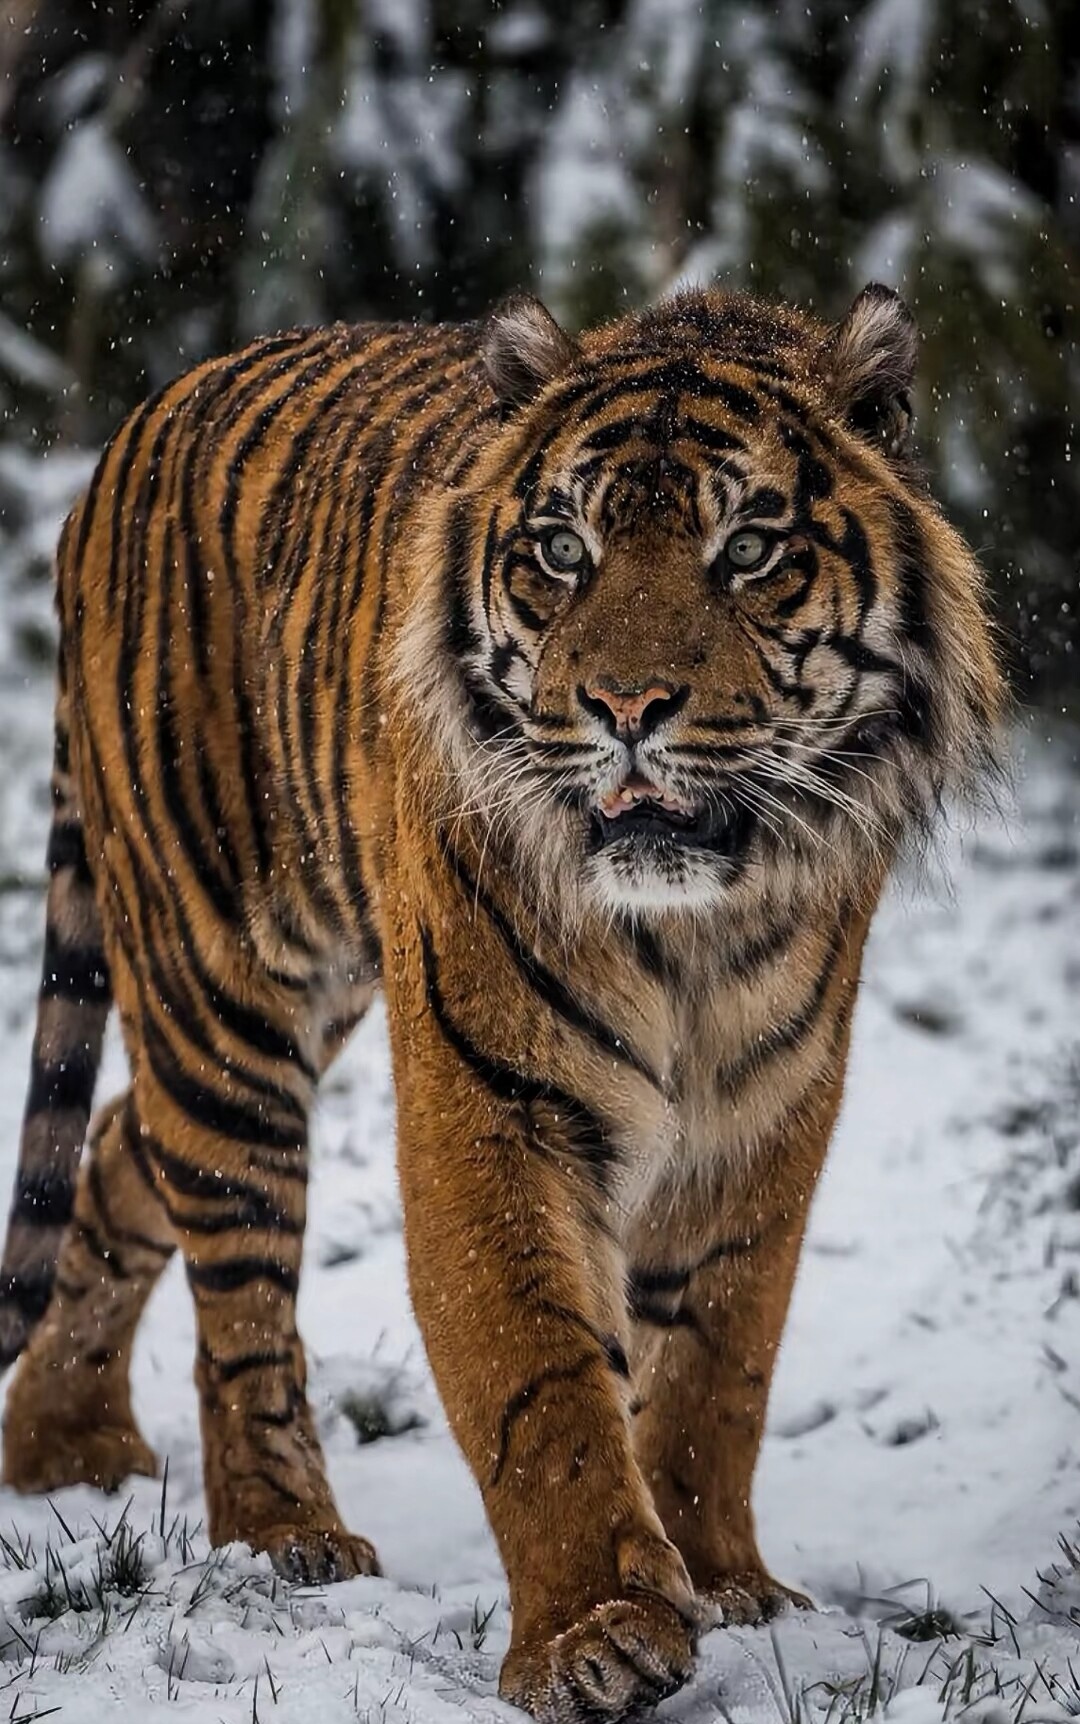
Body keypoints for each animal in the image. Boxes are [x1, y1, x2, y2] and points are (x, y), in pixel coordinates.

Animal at [0, 286, 993, 1724]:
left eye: (750, 548)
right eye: (563, 551)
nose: (626, 706)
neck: (690, 935)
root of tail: (136, 423)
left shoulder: (769, 1111)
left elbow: (717, 1364)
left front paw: (726, 1580)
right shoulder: (492, 1100)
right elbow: (538, 1376)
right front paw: (596, 1633)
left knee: (126, 1150)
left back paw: (61, 1446)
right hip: (220, 980)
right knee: (236, 1283)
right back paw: (283, 1535)